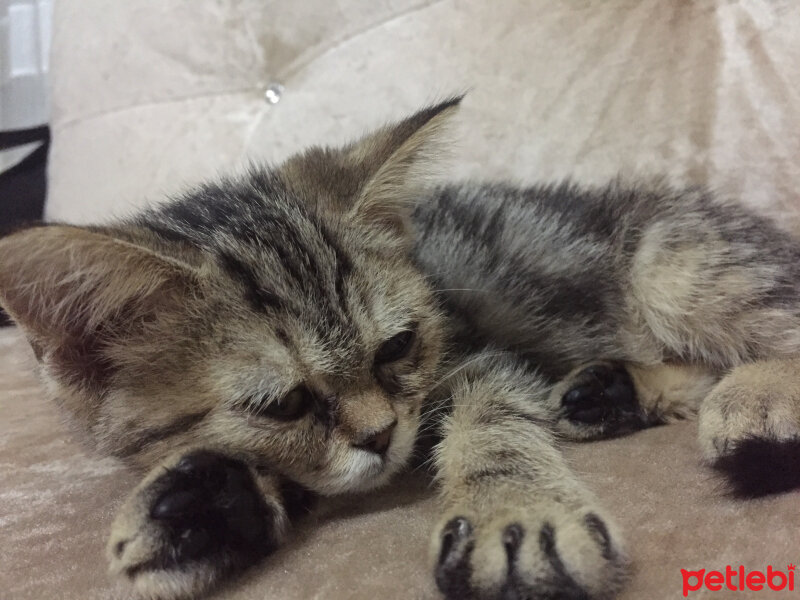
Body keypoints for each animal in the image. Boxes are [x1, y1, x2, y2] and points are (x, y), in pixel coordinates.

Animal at [1, 99, 800, 600]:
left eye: (398, 347)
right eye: (284, 403)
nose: (382, 435)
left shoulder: (482, 360)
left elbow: (495, 428)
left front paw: (517, 514)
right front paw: (204, 506)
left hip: (674, 262)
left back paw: (758, 394)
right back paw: (611, 391)